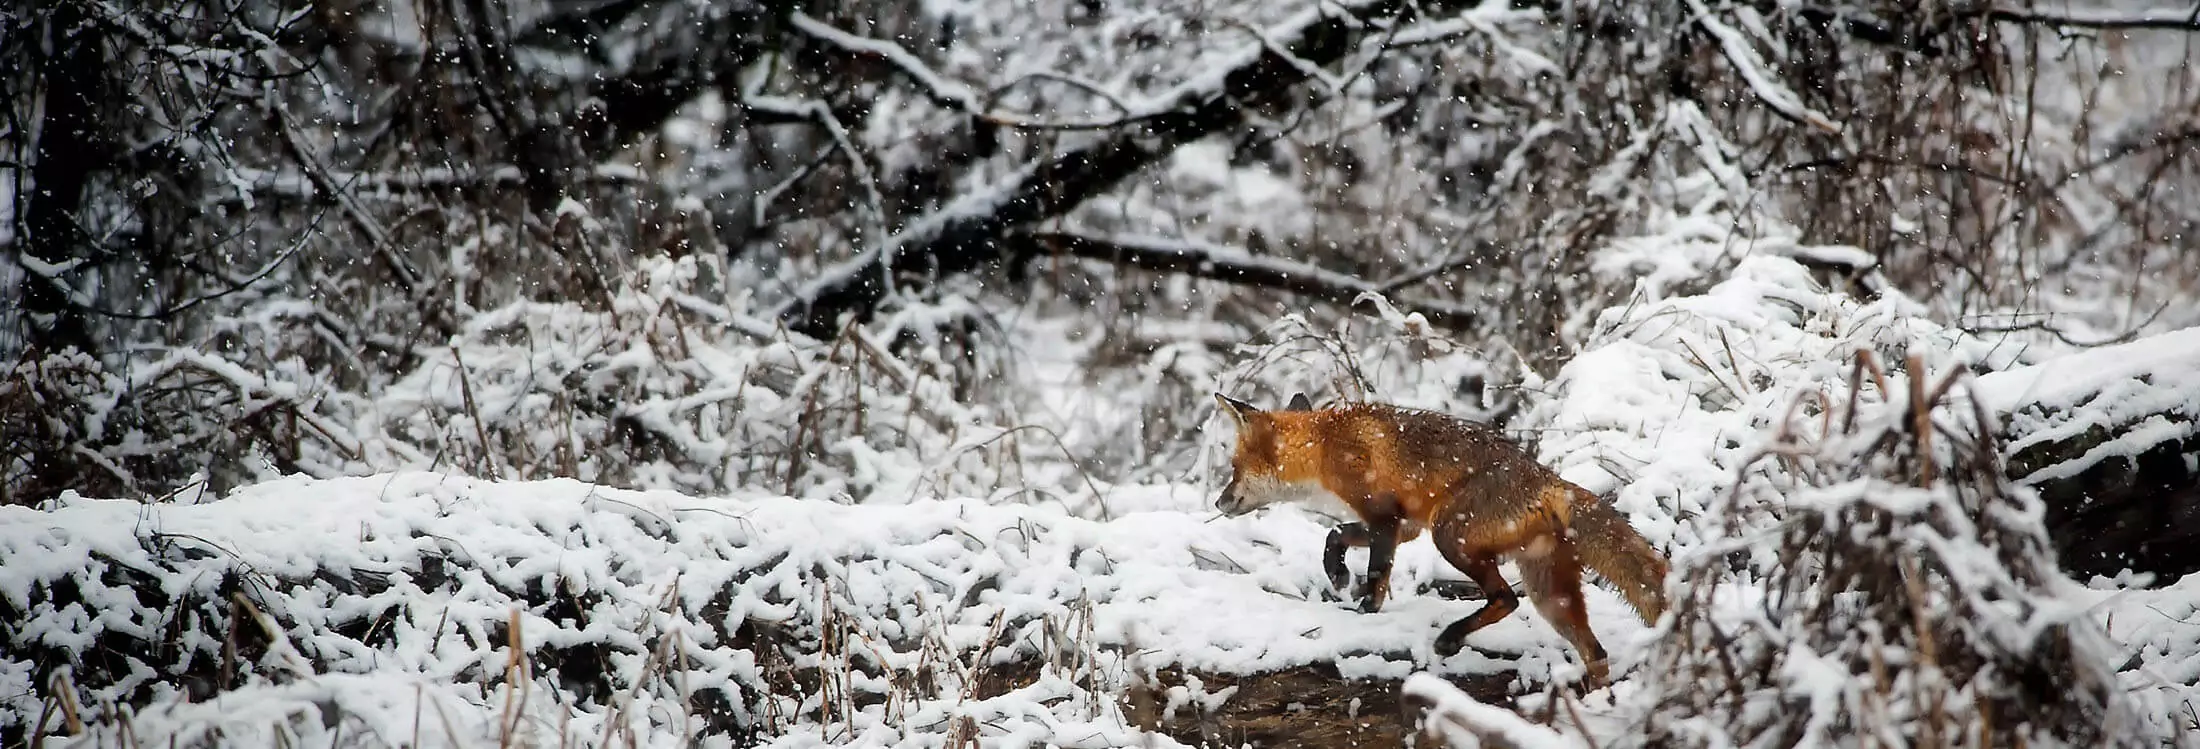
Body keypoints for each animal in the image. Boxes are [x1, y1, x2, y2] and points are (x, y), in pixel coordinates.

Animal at [1211, 392, 1670, 686]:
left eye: (1233, 467)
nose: (1219, 501)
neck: (1325, 445)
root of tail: (1551, 480)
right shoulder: (1405, 524)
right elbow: (1335, 534)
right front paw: (1337, 573)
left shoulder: (1385, 516)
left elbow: (1376, 572)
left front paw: (1364, 611)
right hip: (1548, 593)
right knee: (1596, 654)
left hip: (1451, 536)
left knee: (1506, 598)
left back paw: (1451, 637)